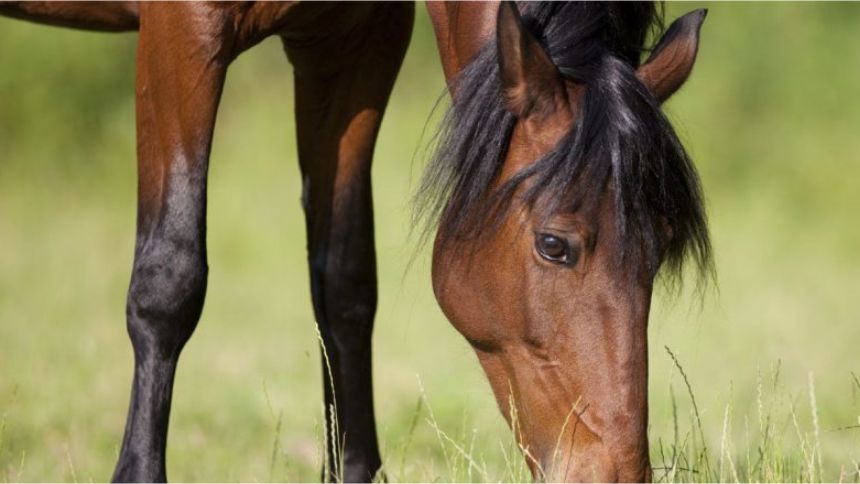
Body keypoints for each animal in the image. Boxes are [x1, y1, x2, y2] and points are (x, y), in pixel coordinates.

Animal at [0, 1, 708, 482]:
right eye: (555, 244)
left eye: (662, 248)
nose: (615, 474)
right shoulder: (183, 30)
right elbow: (169, 281)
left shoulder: (352, 43)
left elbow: (343, 283)